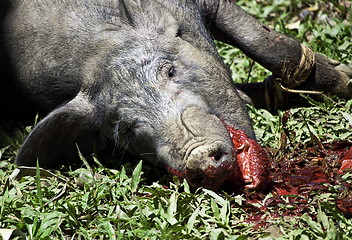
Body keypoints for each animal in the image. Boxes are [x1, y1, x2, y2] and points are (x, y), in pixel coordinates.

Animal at [0, 0, 350, 191]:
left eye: (170, 71)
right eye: (126, 129)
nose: (196, 156)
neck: (97, 48)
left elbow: (270, 45)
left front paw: (345, 80)